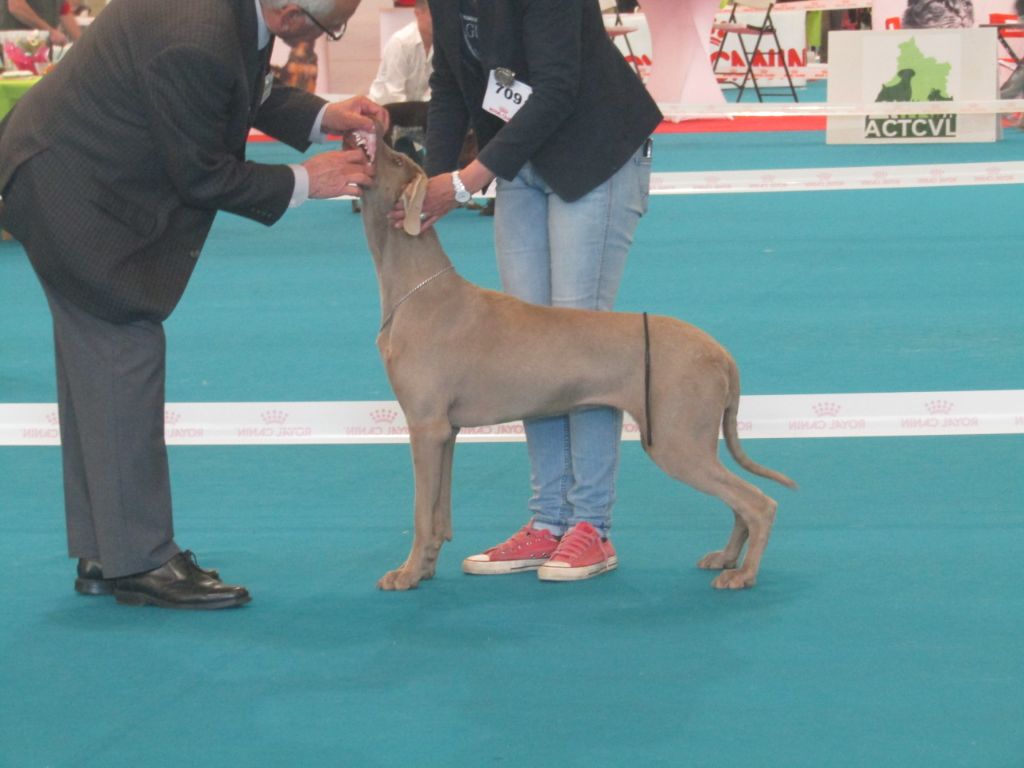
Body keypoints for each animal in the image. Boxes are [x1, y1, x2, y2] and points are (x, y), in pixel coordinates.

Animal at [356, 129, 794, 593]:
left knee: (759, 502)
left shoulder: (426, 427)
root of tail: (720, 352)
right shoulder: (447, 432)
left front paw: (405, 574)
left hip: (676, 441)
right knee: (741, 502)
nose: (376, 128)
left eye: (397, 160)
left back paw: (744, 573)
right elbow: (439, 513)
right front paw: (424, 567)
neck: (416, 288)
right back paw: (727, 558)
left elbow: (421, 513)